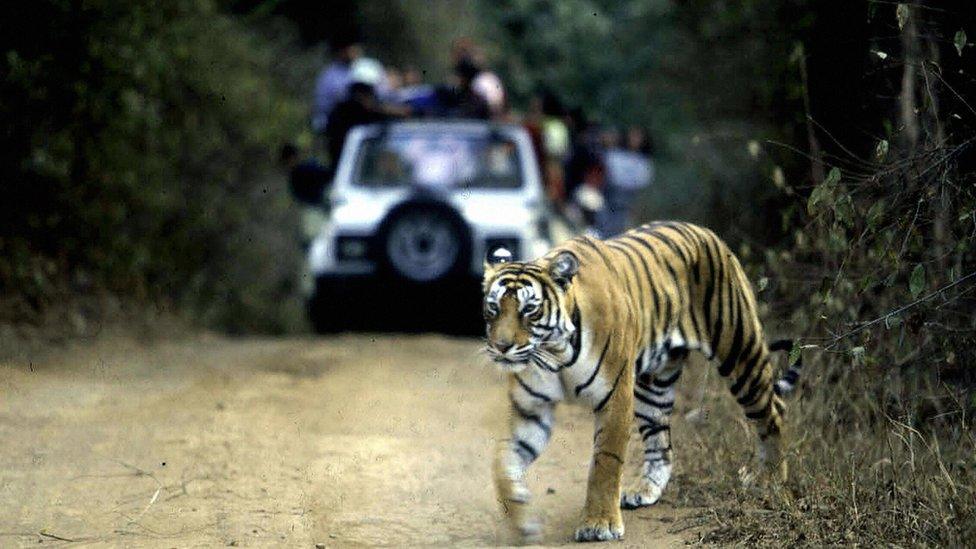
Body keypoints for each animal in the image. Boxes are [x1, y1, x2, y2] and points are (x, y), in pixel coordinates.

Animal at [484, 220, 804, 540]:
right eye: (493, 308)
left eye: (529, 309)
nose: (501, 347)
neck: (554, 353)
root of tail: (704, 231)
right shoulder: (532, 411)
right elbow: (503, 461)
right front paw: (522, 520)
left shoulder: (614, 398)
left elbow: (605, 462)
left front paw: (599, 524)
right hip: (653, 386)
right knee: (660, 442)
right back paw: (645, 490)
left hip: (740, 352)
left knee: (774, 410)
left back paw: (771, 480)